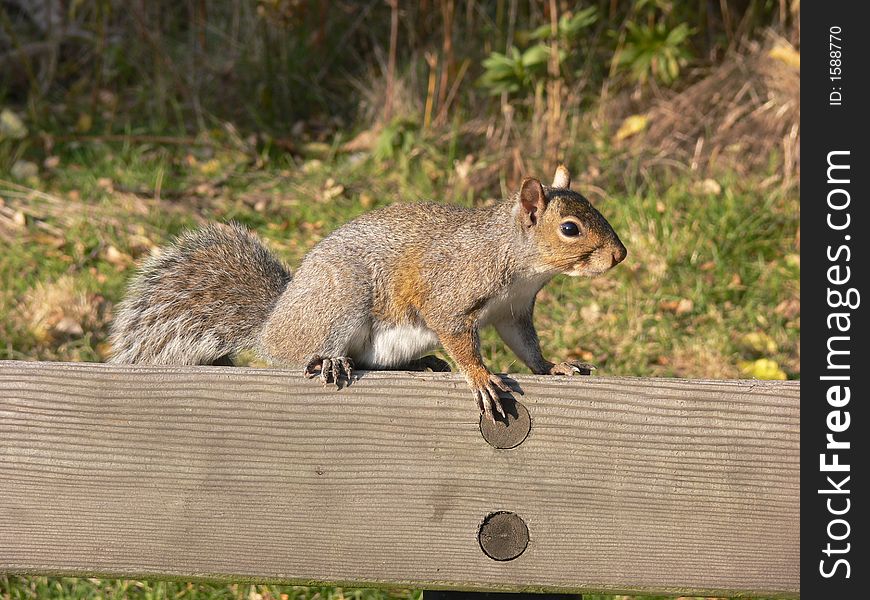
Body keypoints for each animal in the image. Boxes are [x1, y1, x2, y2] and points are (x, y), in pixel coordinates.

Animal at [109, 163, 628, 418]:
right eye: (570, 228)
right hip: (342, 303)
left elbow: (526, 347)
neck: (518, 262)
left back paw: (421, 363)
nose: (620, 255)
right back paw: (330, 361)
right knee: (309, 354)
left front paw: (554, 366)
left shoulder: (513, 311)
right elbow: (458, 336)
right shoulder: (449, 293)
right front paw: (480, 377)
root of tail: (273, 325)